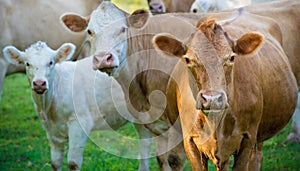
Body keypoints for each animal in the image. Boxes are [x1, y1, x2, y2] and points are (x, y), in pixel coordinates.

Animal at [2, 41, 151, 171]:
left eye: (51, 62)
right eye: (27, 63)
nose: (39, 83)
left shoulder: (79, 123)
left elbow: (73, 164)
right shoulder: (50, 130)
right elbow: (55, 163)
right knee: (144, 142)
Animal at [154, 12, 298, 171]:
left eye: (232, 57)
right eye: (187, 60)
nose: (212, 99)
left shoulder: (247, 138)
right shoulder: (190, 141)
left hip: (259, 135)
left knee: (256, 158)